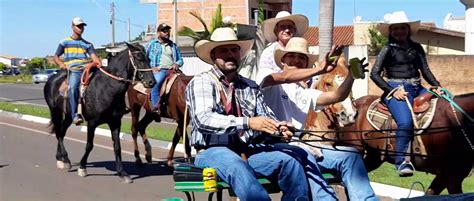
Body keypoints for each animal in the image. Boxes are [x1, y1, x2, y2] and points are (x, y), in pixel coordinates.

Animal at [44, 43, 156, 183]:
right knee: (59, 132)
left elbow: (117, 147)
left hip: (69, 116)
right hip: (55, 111)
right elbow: (89, 145)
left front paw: (122, 173)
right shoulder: (92, 123)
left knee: (62, 132)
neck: (107, 88)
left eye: (149, 59)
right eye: (139, 58)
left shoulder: (115, 122)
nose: (152, 82)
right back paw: (65, 159)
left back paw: (61, 159)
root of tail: (52, 78)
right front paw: (82, 168)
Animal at [304, 55, 474, 195]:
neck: (455, 122)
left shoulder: (450, 176)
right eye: (327, 83)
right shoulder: (450, 176)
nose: (348, 115)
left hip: (373, 157)